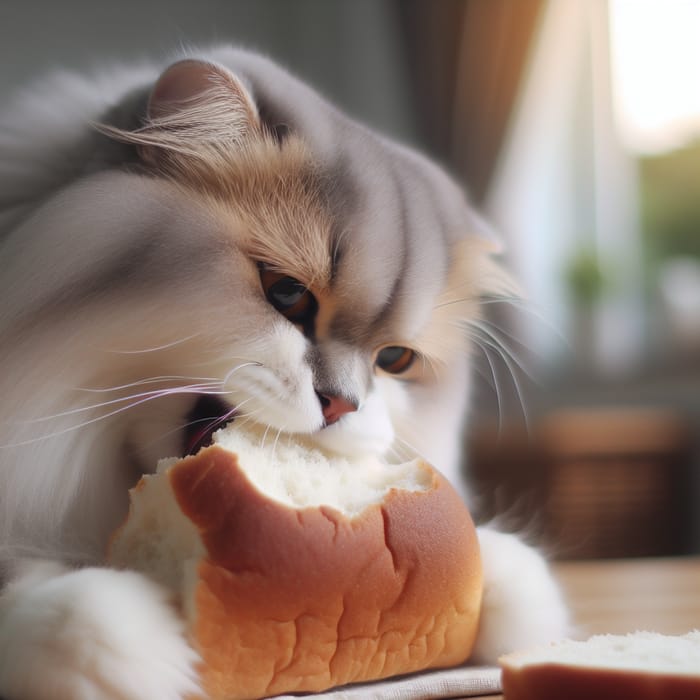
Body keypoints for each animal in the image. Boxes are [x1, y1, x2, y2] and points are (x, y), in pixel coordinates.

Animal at [0, 46, 568, 696]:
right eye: (288, 294)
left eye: (394, 360)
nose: (343, 403)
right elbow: (43, 596)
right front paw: (119, 640)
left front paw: (499, 579)